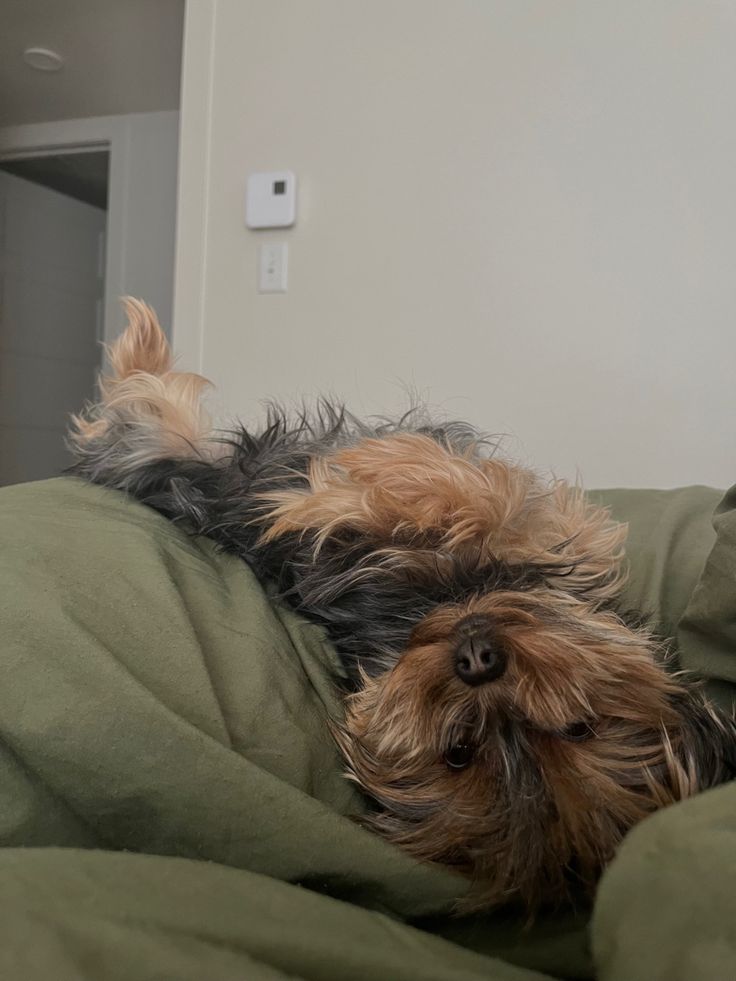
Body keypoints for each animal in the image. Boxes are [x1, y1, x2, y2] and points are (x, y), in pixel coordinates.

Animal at [67, 296, 736, 912]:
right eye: (461, 752)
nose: (477, 660)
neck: (436, 609)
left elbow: (477, 498)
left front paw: (361, 484)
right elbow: (469, 497)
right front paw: (364, 483)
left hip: (184, 459)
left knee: (142, 418)